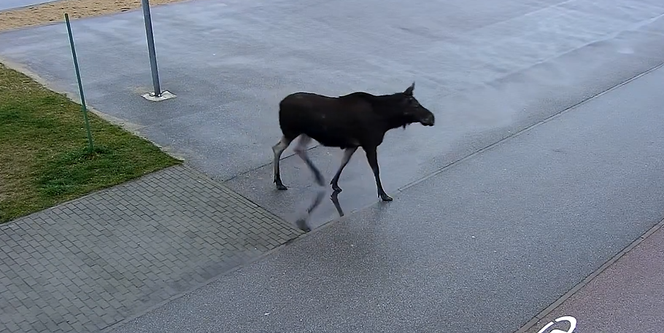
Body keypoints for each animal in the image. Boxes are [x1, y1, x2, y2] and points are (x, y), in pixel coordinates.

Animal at [272, 81, 436, 230]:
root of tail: (280, 104)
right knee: (278, 148)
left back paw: (313, 178)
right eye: (415, 105)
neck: (386, 120)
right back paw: (279, 182)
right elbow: (375, 169)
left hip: (304, 132)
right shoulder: (369, 143)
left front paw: (335, 183)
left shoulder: (353, 144)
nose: (431, 117)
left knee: (296, 149)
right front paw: (383, 194)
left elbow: (344, 161)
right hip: (292, 130)